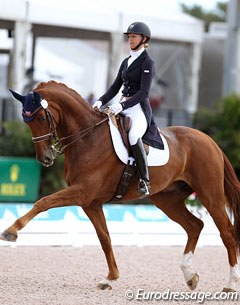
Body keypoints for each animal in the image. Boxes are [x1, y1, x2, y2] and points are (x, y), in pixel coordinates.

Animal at [1, 80, 240, 290]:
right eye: (26, 121)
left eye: (42, 118)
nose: (45, 158)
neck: (87, 137)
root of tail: (210, 141)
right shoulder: (90, 202)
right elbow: (104, 238)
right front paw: (110, 278)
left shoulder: (82, 192)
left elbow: (43, 202)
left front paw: (11, 231)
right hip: (167, 200)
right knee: (194, 226)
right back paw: (190, 276)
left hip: (210, 195)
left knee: (227, 232)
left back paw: (230, 285)